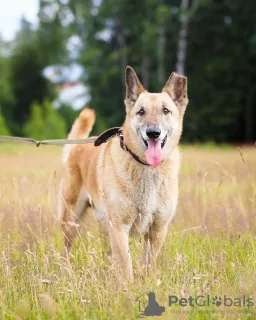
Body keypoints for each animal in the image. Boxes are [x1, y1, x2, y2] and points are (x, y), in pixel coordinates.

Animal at [60, 66, 188, 282]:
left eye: (166, 111)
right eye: (141, 112)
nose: (153, 133)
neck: (146, 167)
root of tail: (77, 146)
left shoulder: (157, 230)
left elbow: (148, 265)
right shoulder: (119, 227)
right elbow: (125, 264)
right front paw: (127, 288)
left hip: (102, 224)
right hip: (72, 219)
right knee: (65, 250)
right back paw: (65, 274)